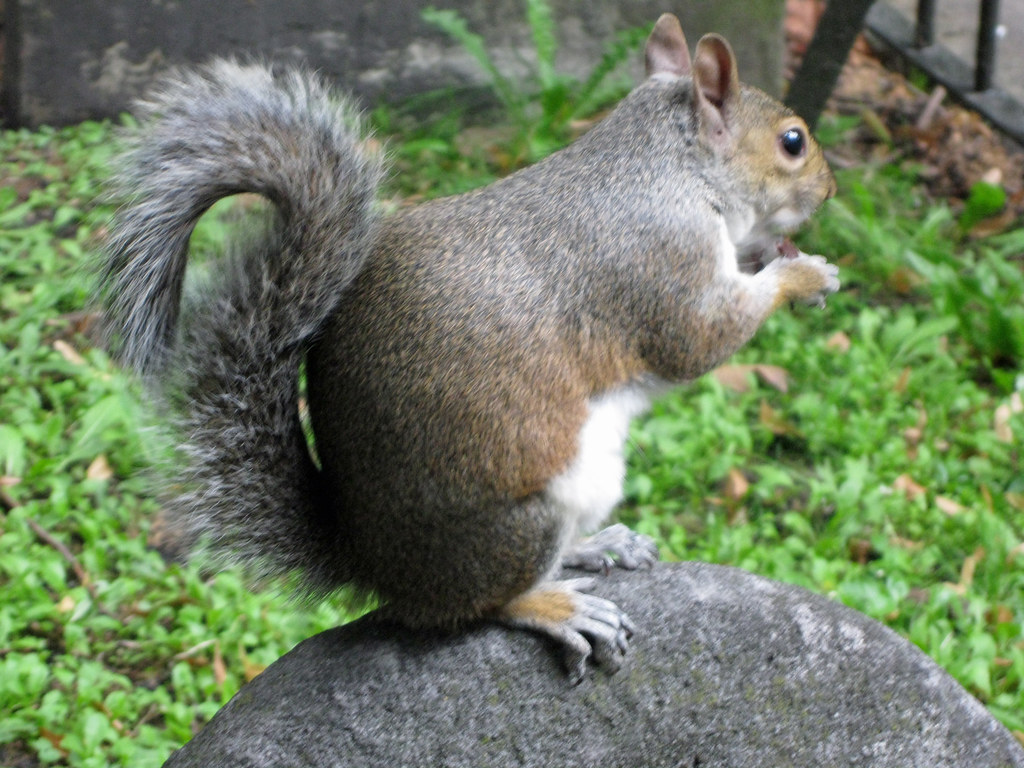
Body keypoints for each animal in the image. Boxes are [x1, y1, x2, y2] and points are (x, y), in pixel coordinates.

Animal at [100, 13, 838, 683]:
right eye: (792, 142)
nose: (830, 189)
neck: (668, 163)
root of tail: (380, 567)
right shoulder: (663, 263)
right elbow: (698, 340)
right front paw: (804, 274)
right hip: (526, 513)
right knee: (478, 606)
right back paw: (557, 607)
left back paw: (597, 546)